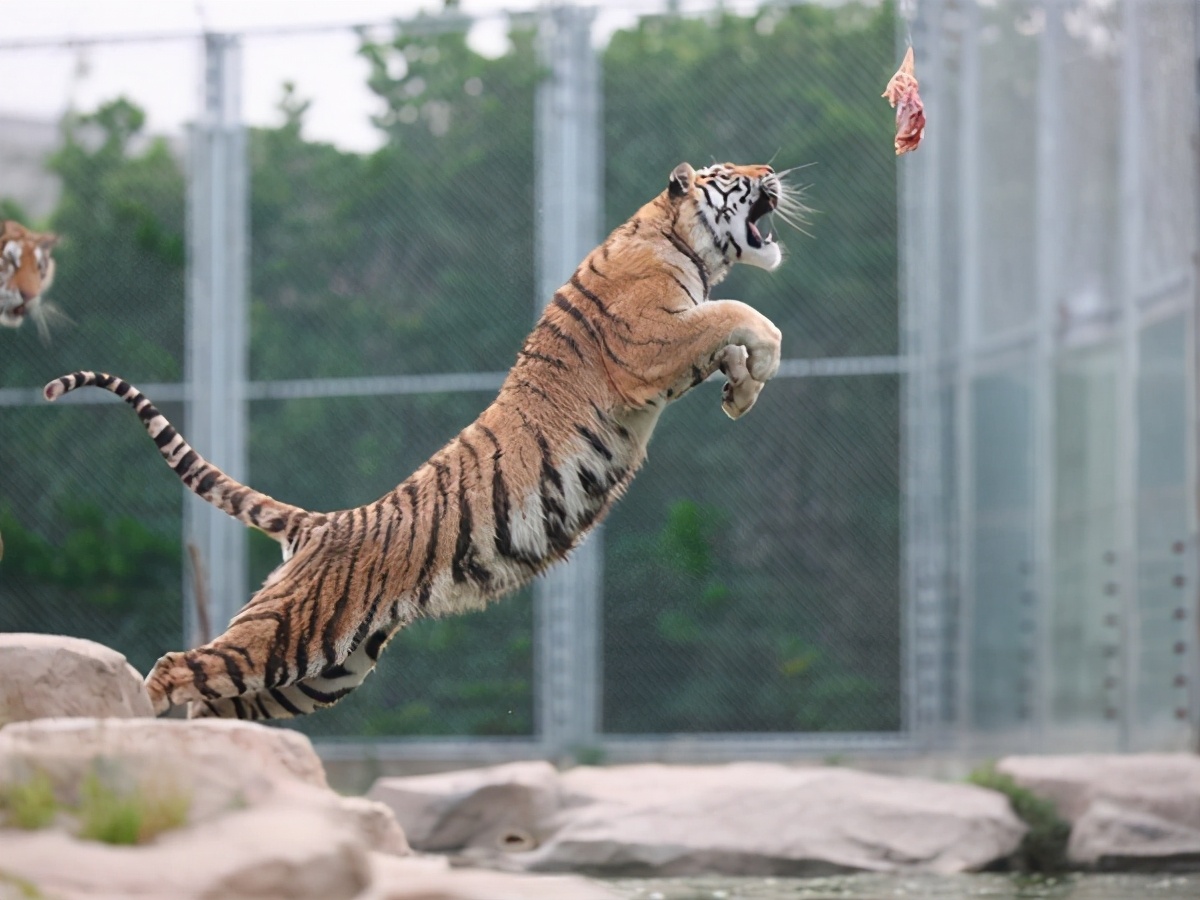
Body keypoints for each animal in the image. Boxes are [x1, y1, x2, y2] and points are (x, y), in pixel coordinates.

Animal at [42, 162, 801, 724]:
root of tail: (321, 524)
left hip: (323, 672)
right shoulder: (652, 343)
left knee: (211, 702)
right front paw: (755, 367)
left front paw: (740, 392)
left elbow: (732, 338)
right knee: (178, 668)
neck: (679, 240)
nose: (771, 171)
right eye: (731, 174)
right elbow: (745, 315)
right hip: (288, 637)